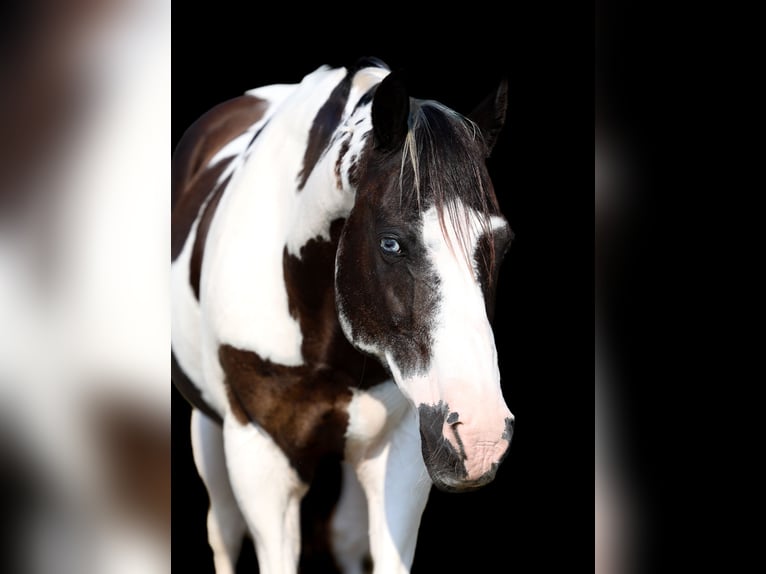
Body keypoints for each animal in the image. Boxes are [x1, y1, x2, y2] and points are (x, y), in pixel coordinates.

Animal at [171, 57, 515, 574]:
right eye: (391, 243)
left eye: (502, 242)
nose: (481, 438)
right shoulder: (260, 461)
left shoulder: (403, 453)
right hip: (210, 427)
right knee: (224, 532)